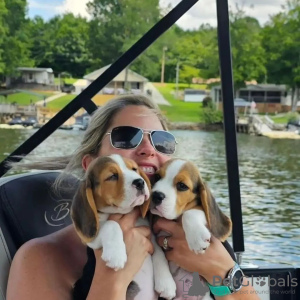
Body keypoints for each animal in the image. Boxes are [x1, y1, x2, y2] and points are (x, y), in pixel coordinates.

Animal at [150, 158, 232, 298]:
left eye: (182, 186)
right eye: (157, 177)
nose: (155, 195)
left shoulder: (198, 211)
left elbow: (189, 213)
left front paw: (197, 238)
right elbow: (157, 250)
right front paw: (165, 283)